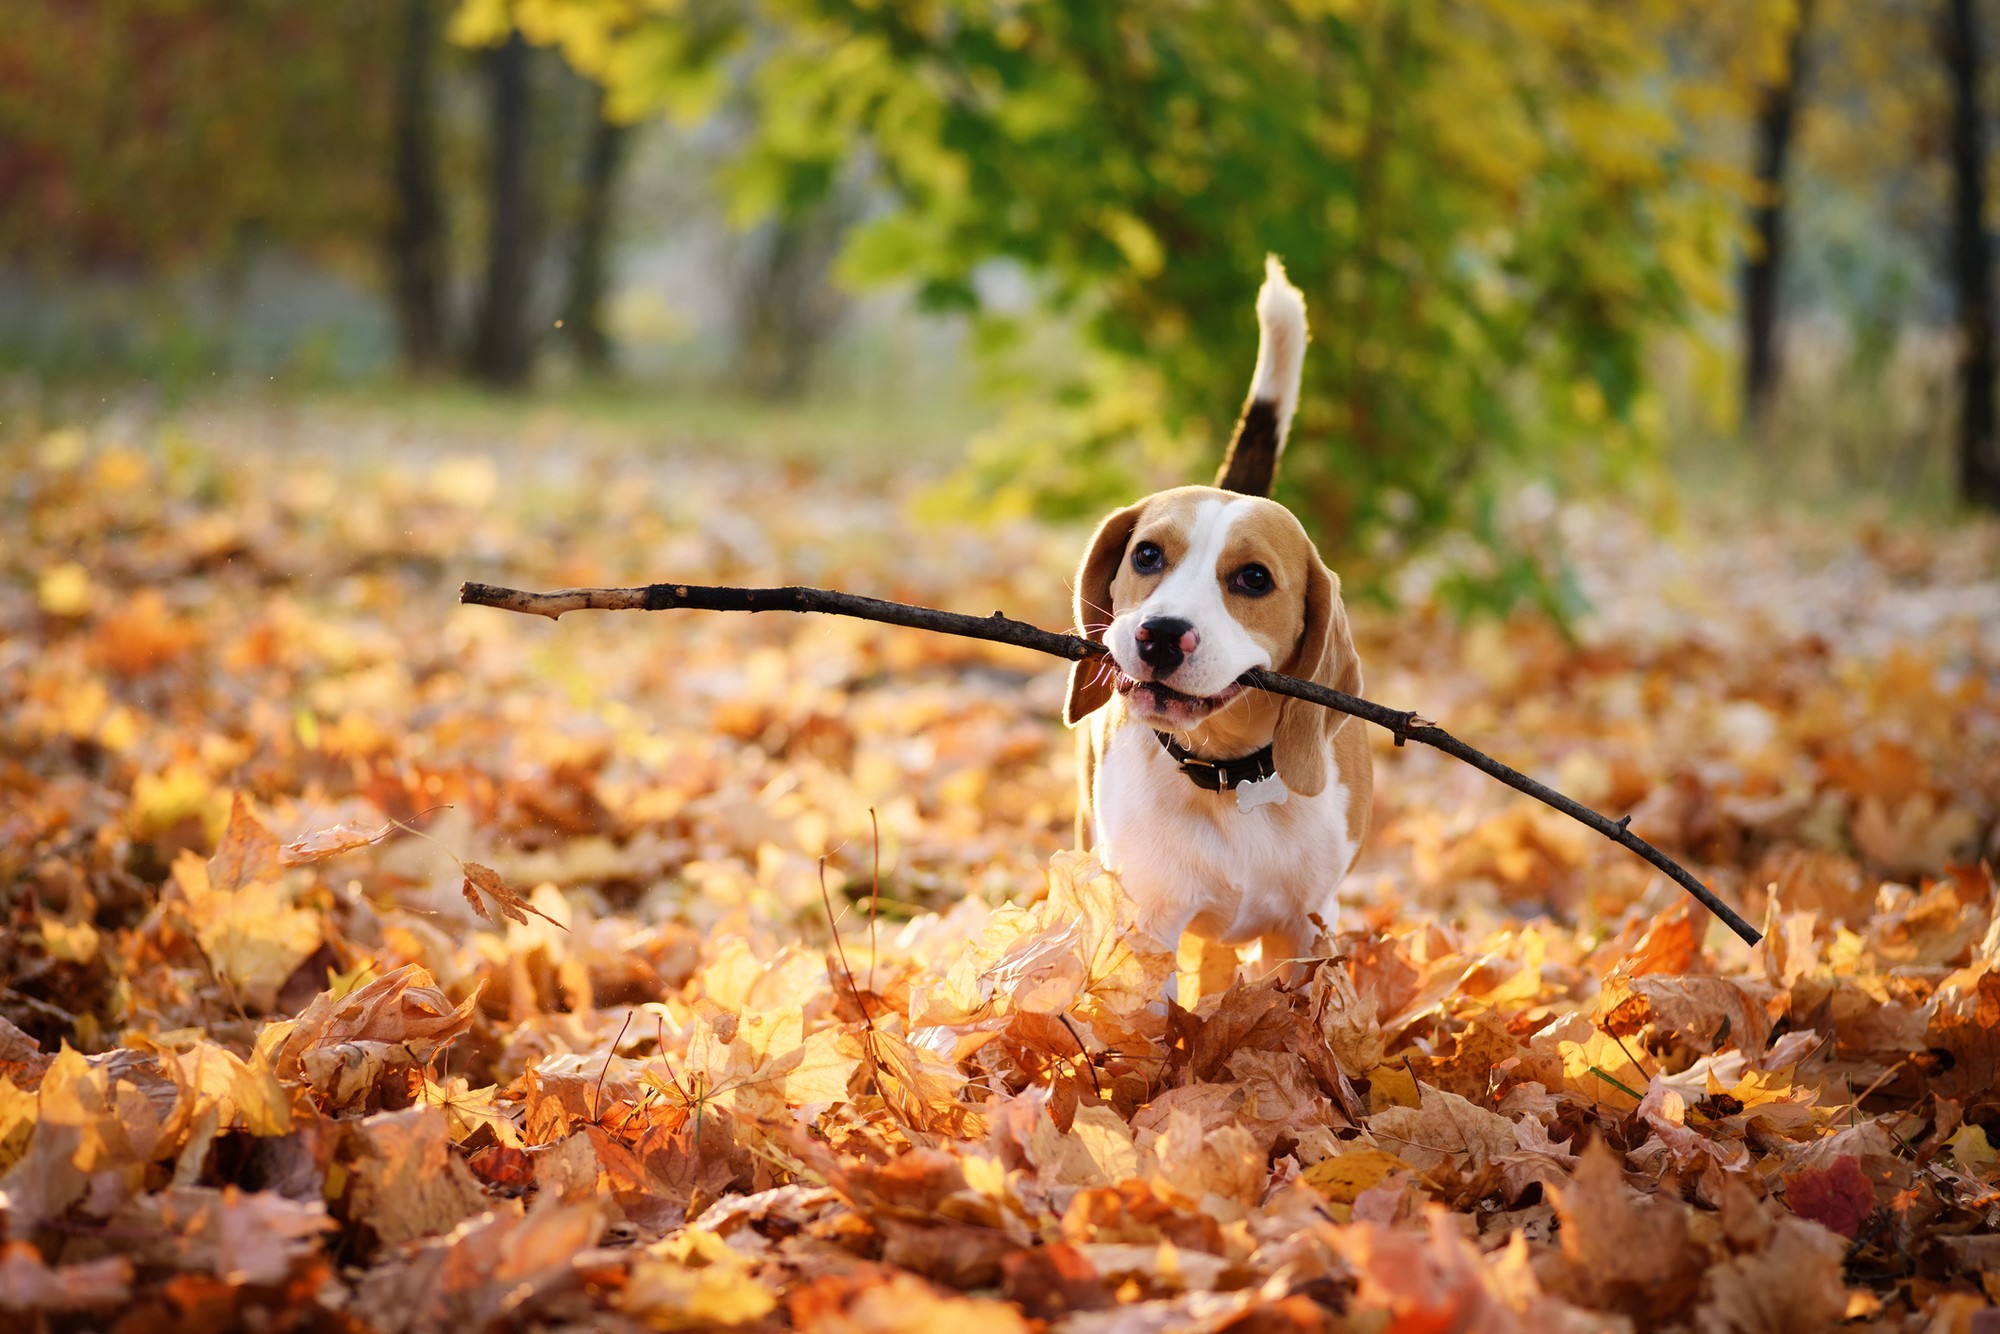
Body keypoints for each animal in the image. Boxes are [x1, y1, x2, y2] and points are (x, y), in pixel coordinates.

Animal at [1064, 256, 1376, 976]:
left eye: (1253, 578)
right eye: (1147, 554)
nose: (1159, 636)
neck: (1229, 775)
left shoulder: (1306, 930)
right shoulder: (1149, 922)